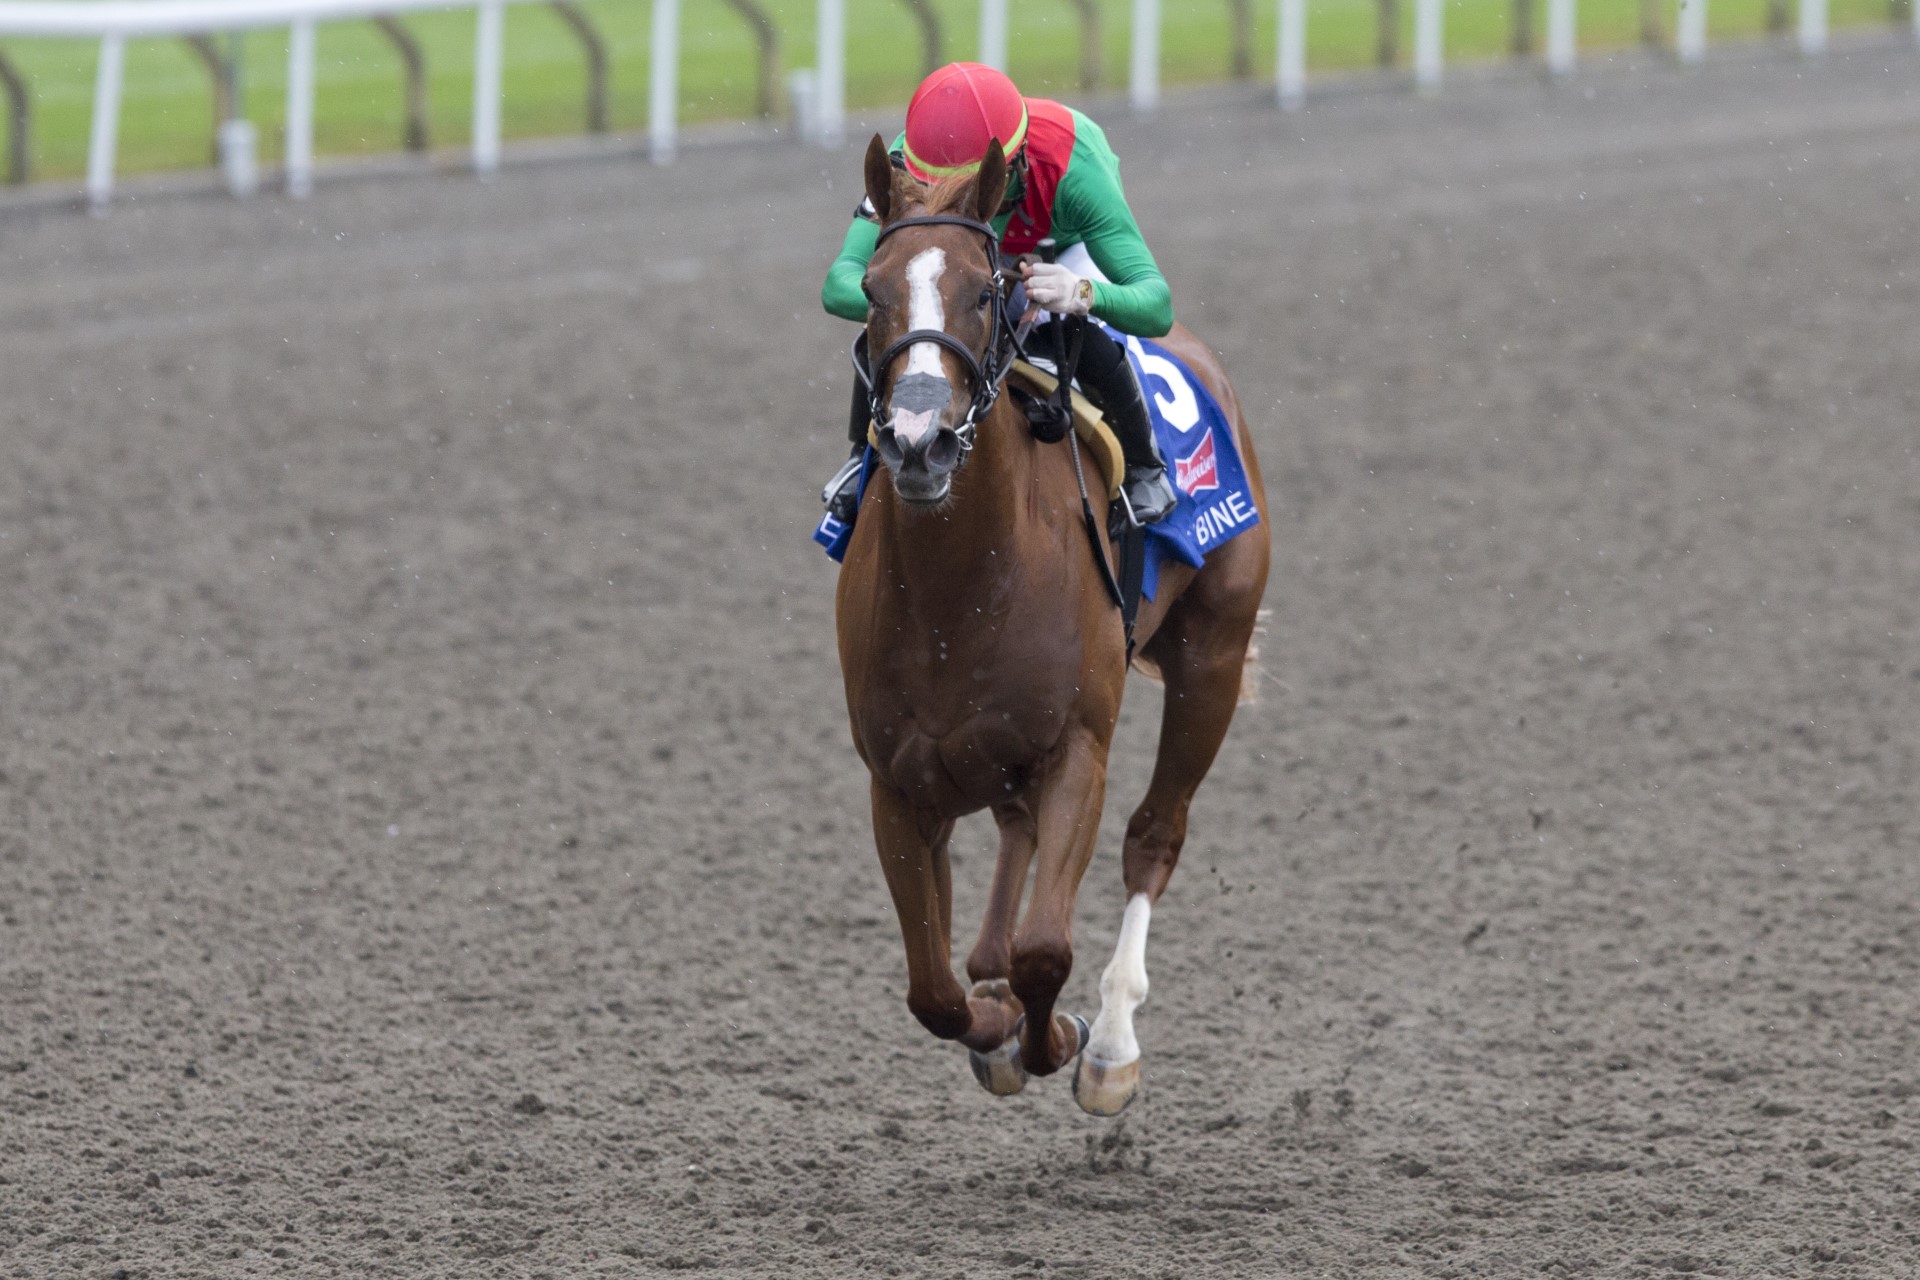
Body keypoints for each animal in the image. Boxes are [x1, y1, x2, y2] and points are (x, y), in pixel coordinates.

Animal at [833, 132, 1267, 1113]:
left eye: (984, 290)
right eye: (872, 290)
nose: (916, 443)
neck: (962, 588)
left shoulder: (1078, 749)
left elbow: (1043, 953)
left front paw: (1060, 1037)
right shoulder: (896, 782)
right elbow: (933, 990)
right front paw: (993, 1025)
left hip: (1214, 657)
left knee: (1155, 835)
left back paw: (1110, 1043)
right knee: (1012, 835)